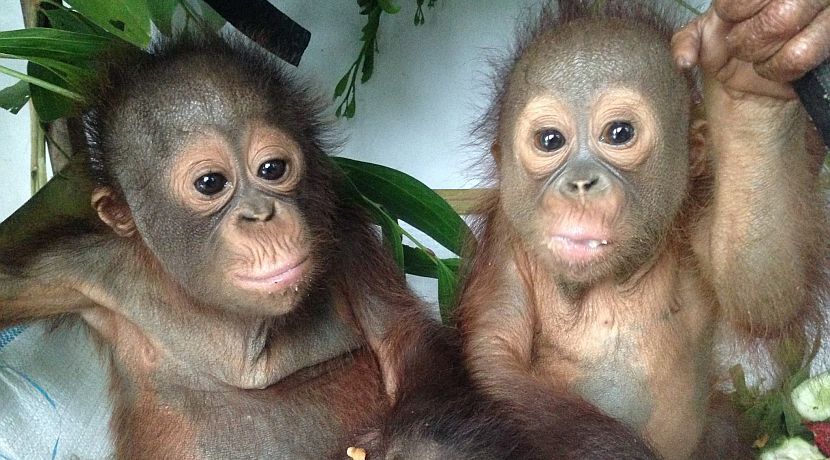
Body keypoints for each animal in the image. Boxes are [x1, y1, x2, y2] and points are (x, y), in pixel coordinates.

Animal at [456, 1, 829, 459]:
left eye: (619, 133)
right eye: (550, 140)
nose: (580, 182)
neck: (612, 280)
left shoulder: (692, 212)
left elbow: (763, 292)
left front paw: (748, 93)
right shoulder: (505, 245)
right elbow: (493, 359)